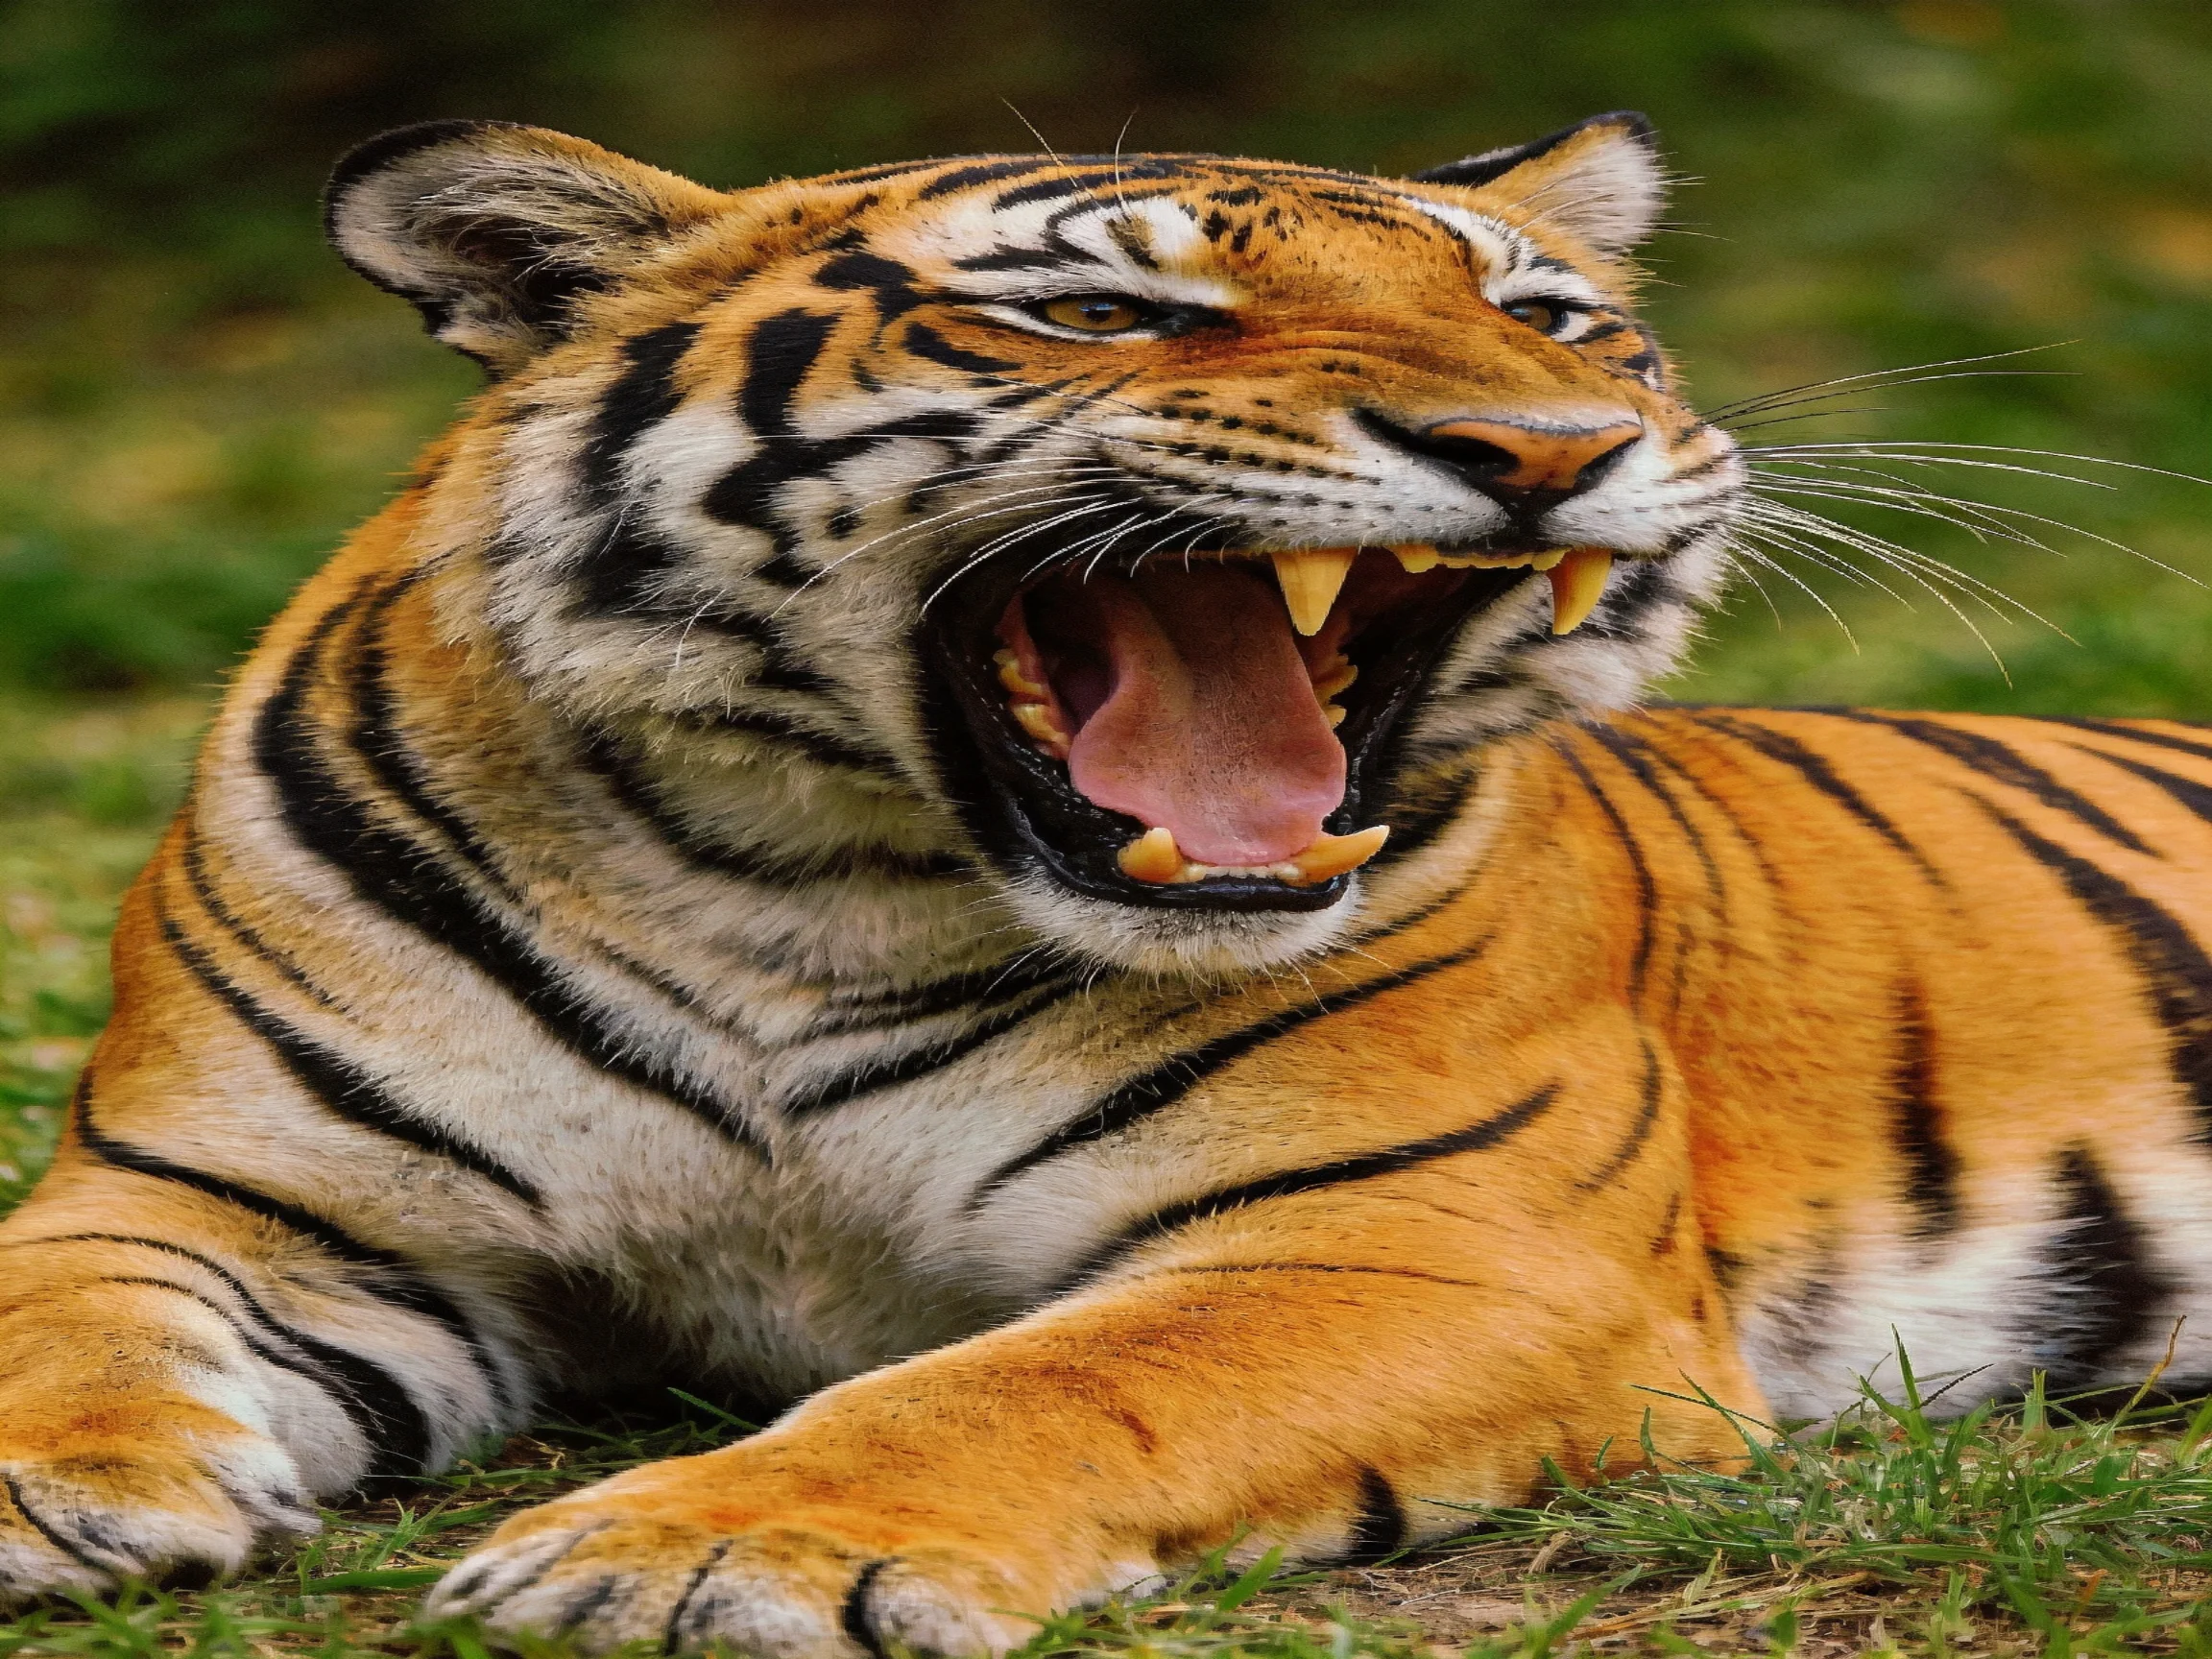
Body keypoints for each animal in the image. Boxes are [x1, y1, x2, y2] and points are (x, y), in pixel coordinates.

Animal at [0, 106, 2207, 1656]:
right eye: (1097, 311)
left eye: (1548, 316)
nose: (1552, 443)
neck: (795, 887)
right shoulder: (215, 1188)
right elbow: (61, 1315)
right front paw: (44, 1500)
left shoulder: (1418, 1238)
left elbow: (1023, 1390)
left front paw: (698, 1552)